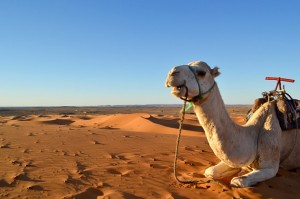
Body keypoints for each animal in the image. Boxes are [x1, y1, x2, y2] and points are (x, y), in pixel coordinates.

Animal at [165, 60, 298, 187]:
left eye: (202, 72)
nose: (172, 73)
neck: (252, 134)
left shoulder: (271, 165)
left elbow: (238, 181)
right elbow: (210, 171)